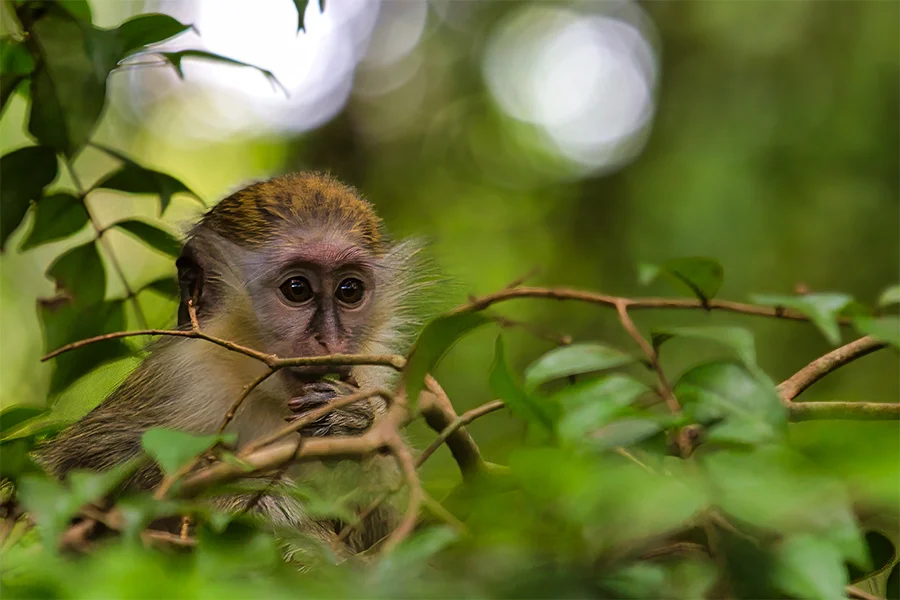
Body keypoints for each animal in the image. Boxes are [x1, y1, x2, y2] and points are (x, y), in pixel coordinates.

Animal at [35, 172, 428, 558]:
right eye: (297, 289)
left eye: (349, 290)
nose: (330, 340)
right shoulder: (184, 380)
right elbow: (70, 468)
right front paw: (248, 495)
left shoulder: (367, 376)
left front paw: (352, 422)